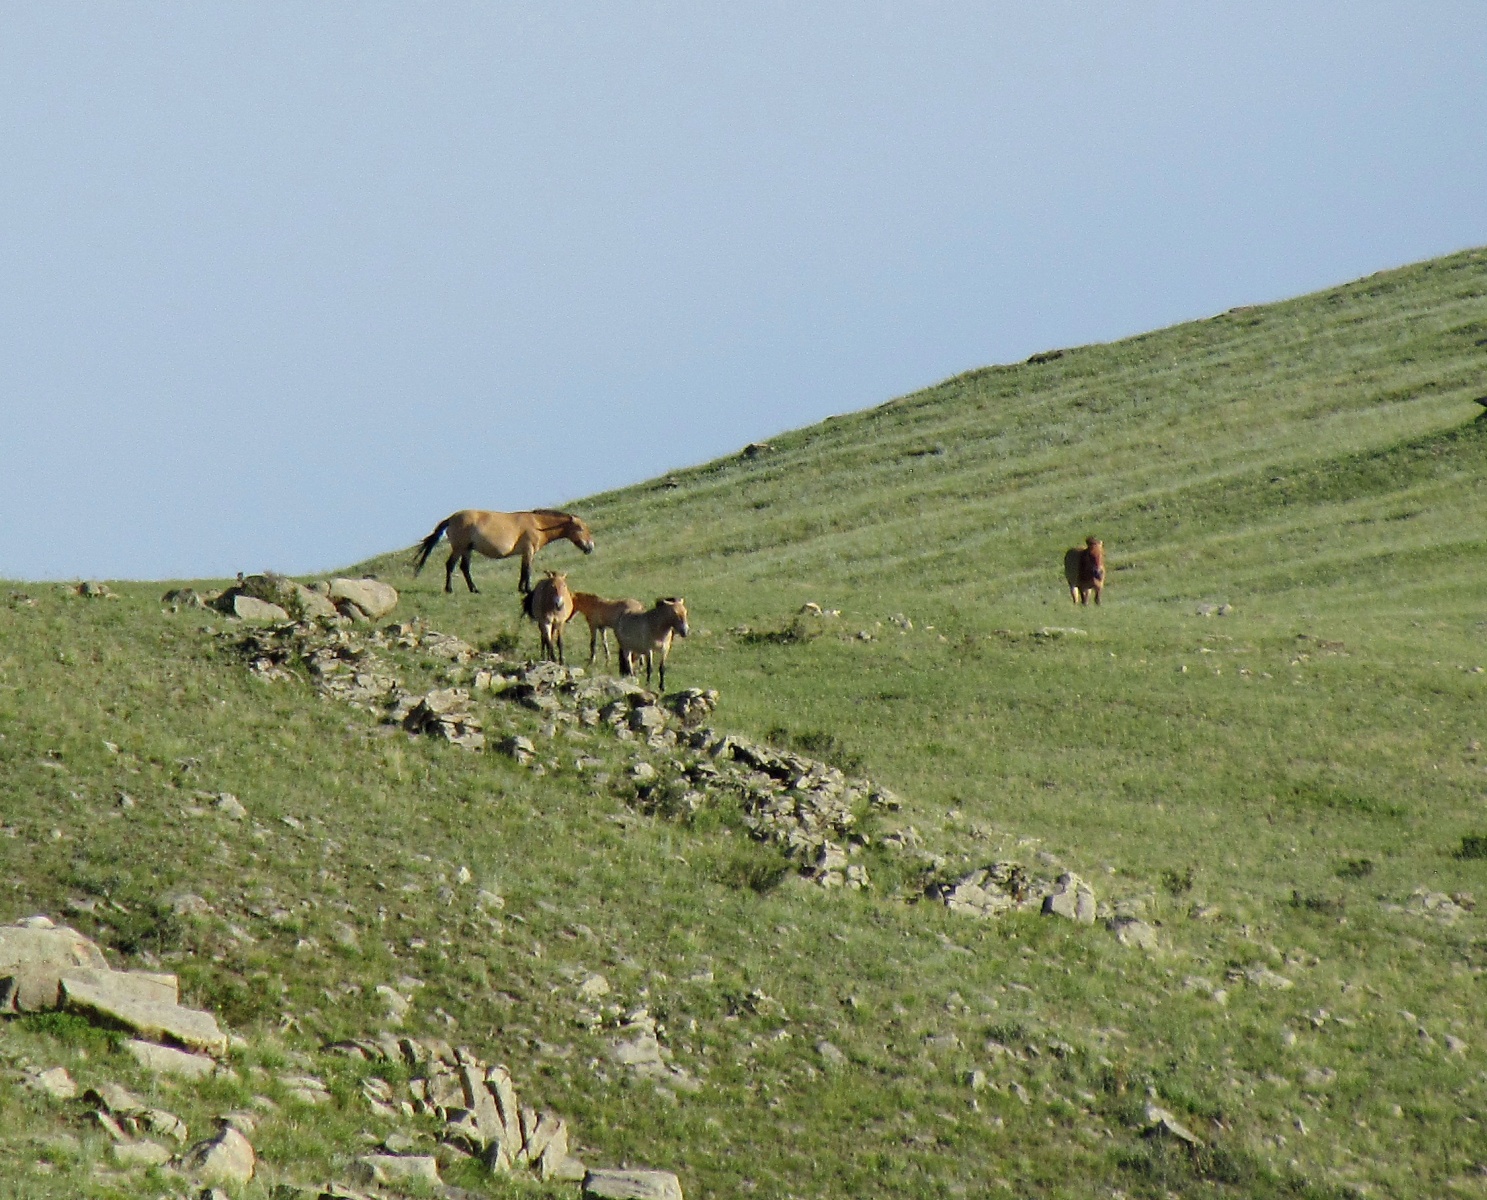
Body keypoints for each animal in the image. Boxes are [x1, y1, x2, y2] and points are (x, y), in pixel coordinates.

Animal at [412, 509, 594, 595]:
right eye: (581, 528)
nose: (590, 547)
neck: (537, 524)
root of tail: (451, 518)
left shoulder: (525, 553)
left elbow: (523, 571)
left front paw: (521, 588)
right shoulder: (529, 550)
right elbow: (527, 570)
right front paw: (527, 589)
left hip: (467, 549)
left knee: (464, 568)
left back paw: (474, 589)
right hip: (459, 547)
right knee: (450, 565)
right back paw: (449, 589)